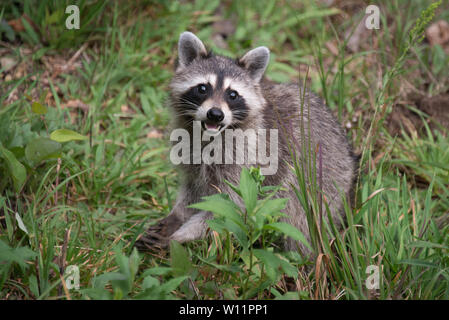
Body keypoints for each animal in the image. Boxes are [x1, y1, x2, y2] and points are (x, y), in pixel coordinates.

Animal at [135, 31, 356, 254]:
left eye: (232, 94)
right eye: (202, 88)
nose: (215, 114)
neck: (209, 135)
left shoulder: (246, 159)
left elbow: (228, 208)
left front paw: (182, 234)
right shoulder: (190, 151)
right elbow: (193, 191)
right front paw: (177, 216)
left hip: (325, 185)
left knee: (300, 223)